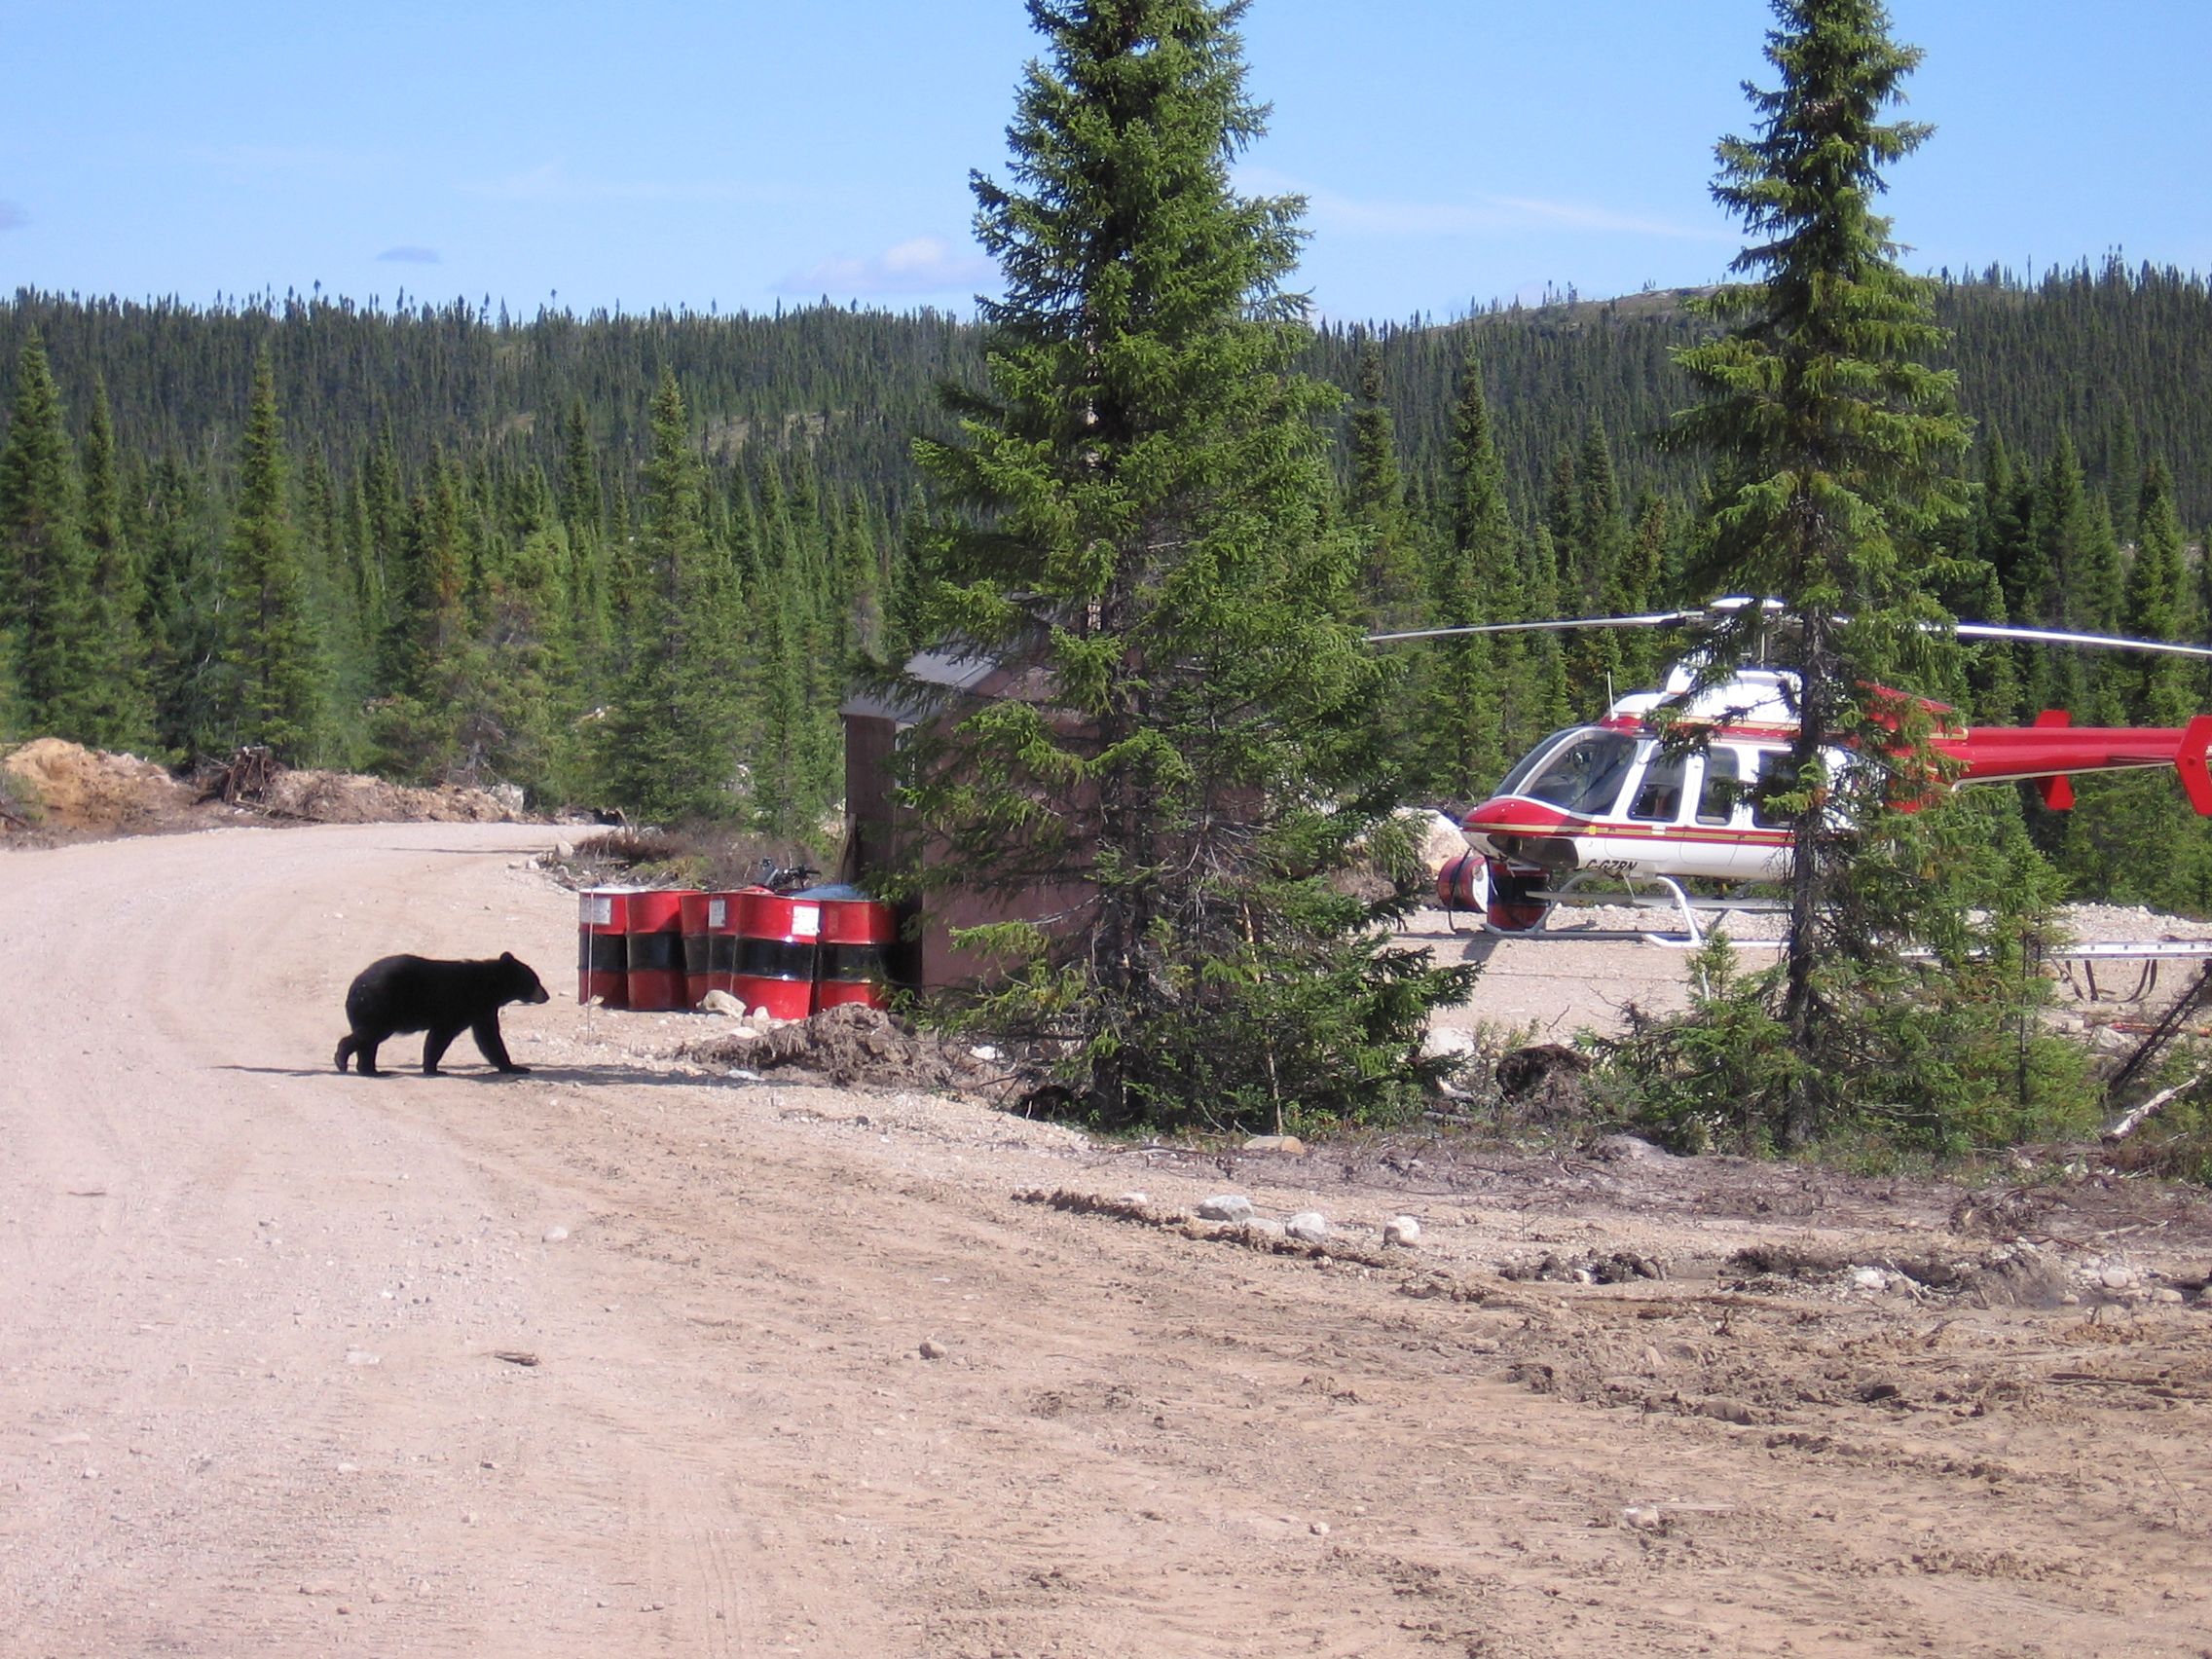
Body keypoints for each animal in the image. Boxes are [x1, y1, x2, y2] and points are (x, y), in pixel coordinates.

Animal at [334, 952, 550, 1077]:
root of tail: (355, 987)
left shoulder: (482, 1009)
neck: (490, 986)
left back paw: (372, 1070)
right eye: (535, 980)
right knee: (369, 1035)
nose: (546, 995)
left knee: (369, 1041)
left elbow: (487, 1037)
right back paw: (343, 1061)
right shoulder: (463, 1004)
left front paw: (513, 1067)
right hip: (381, 1006)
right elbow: (444, 1035)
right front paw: (434, 1068)